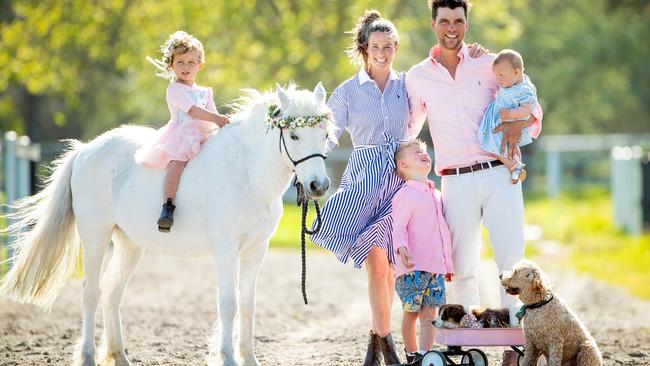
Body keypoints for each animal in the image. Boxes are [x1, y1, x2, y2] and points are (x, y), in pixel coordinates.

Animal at [0, 83, 332, 366]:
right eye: (294, 136)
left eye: (325, 135)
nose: (318, 186)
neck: (247, 171)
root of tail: (85, 150)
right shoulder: (225, 249)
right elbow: (228, 304)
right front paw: (226, 357)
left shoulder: (256, 250)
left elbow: (248, 305)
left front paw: (249, 359)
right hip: (95, 237)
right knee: (90, 293)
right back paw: (88, 356)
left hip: (129, 245)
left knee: (111, 291)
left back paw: (120, 356)